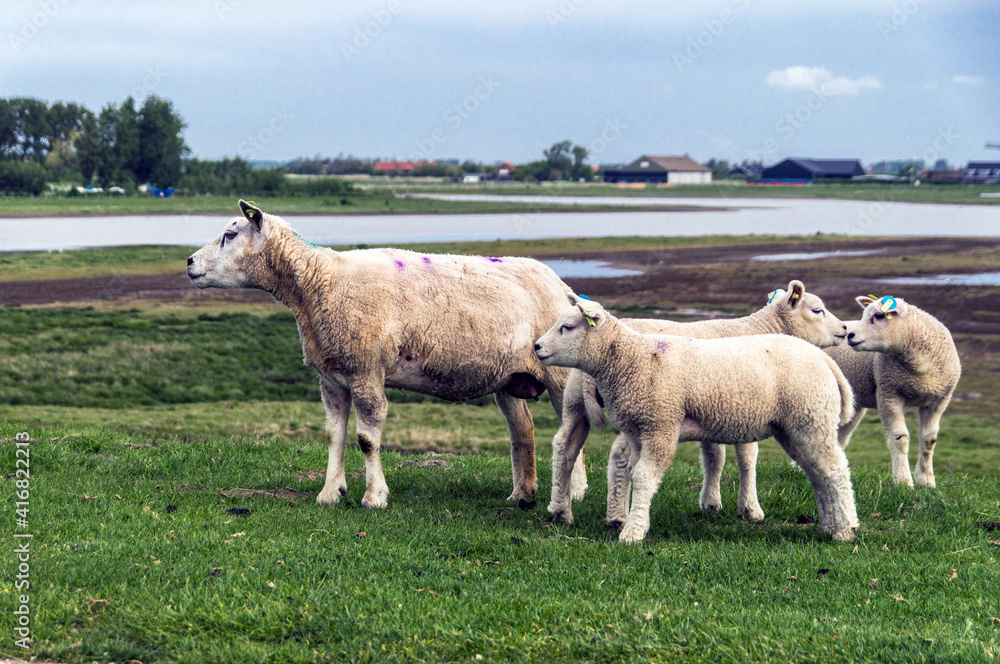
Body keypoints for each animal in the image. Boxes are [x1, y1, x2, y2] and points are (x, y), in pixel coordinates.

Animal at [186, 199, 586, 509]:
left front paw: (373, 496)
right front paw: (330, 493)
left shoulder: (367, 369)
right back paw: (522, 493)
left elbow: (366, 438)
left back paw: (575, 490)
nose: (189, 262)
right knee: (523, 430)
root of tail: (562, 285)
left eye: (230, 234)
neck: (321, 282)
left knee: (569, 428)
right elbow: (333, 434)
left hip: (558, 374)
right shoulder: (331, 376)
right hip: (508, 376)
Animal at [535, 297, 859, 543]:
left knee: (835, 470)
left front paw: (633, 532)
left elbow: (645, 475)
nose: (537, 347)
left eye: (567, 327)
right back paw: (830, 525)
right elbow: (638, 473)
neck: (633, 358)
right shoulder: (640, 431)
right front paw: (636, 522)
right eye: (817, 310)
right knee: (818, 472)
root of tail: (822, 358)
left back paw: (845, 530)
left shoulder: (661, 426)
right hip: (795, 427)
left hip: (811, 419)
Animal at [827, 295, 961, 488]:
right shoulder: (889, 394)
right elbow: (900, 439)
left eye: (878, 315)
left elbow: (929, 440)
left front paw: (926, 481)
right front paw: (903, 481)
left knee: (841, 435)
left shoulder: (939, 400)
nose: (850, 336)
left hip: (852, 405)